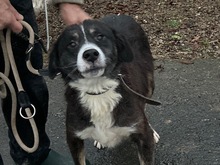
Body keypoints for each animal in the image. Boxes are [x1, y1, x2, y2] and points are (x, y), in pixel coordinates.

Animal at [48, 14, 160, 165]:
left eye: (100, 37)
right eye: (72, 44)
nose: (90, 54)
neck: (97, 91)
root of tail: (119, 14)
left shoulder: (144, 139)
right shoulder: (73, 138)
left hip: (149, 83)